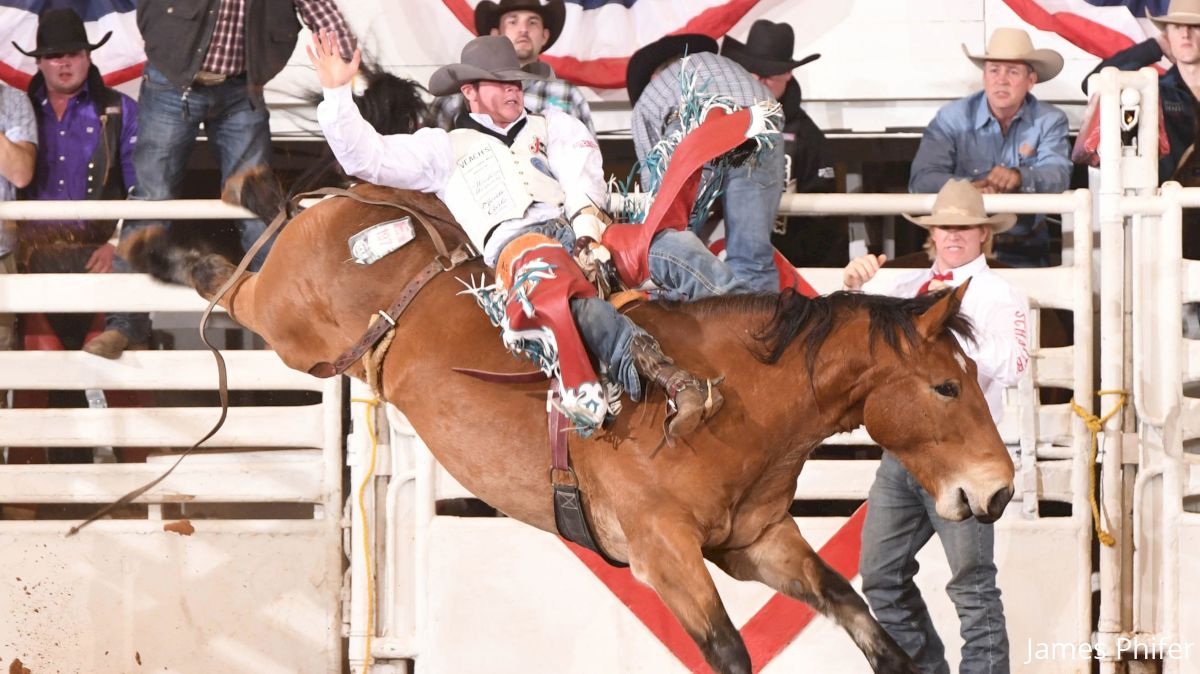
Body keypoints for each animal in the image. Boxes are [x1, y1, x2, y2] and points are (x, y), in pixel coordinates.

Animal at [126, 182, 1012, 671]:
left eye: (975, 380)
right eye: (944, 386)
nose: (999, 491)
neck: (742, 403)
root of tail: (363, 204)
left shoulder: (758, 542)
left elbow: (860, 617)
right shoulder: (664, 553)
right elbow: (729, 650)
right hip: (285, 322)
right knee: (230, 285)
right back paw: (166, 243)